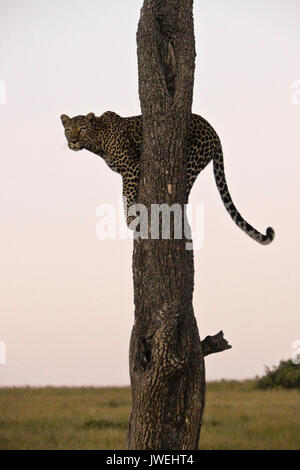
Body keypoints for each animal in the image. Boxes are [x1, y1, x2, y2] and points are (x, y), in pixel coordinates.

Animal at [60, 110, 274, 246]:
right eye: (68, 130)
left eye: (82, 129)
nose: (74, 141)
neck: (97, 142)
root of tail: (214, 132)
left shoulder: (131, 168)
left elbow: (127, 194)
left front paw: (131, 218)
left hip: (191, 161)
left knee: (184, 194)